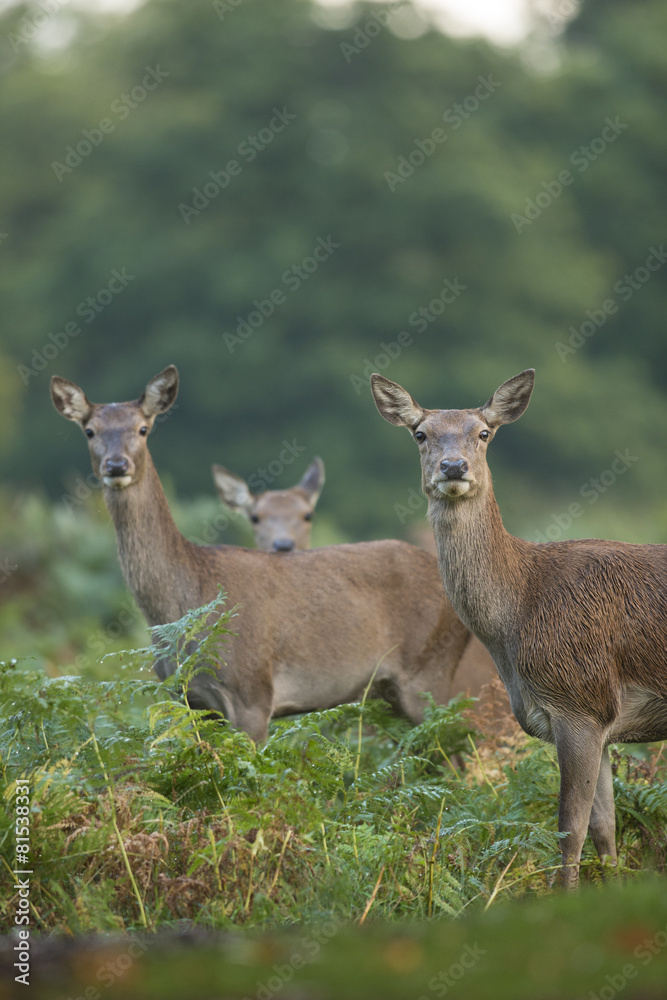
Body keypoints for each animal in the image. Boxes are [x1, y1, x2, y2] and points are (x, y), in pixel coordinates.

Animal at [51, 368, 500, 744]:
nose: (116, 465)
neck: (182, 605)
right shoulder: (188, 699)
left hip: (431, 672)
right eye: (89, 431)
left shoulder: (252, 691)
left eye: (143, 428)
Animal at [374, 372, 667, 888]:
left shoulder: (579, 701)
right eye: (421, 433)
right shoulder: (602, 719)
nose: (453, 466)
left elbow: (569, 830)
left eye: (484, 433)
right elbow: (605, 829)